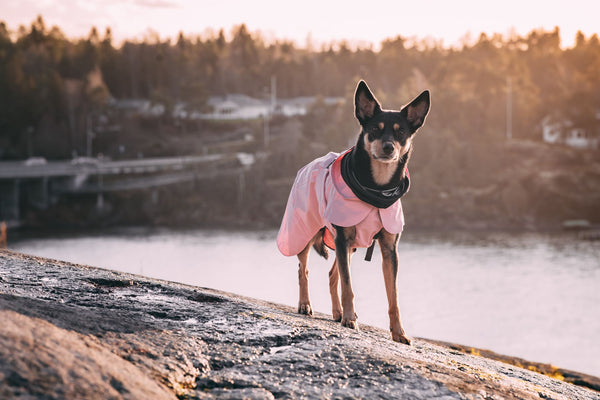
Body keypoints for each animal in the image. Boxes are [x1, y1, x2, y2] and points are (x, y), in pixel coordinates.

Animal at [278, 80, 432, 344]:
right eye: (375, 130)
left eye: (401, 132)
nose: (388, 147)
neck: (376, 189)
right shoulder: (342, 238)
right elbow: (348, 286)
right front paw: (351, 319)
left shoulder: (389, 248)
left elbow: (393, 297)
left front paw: (398, 332)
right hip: (307, 231)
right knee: (303, 269)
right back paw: (305, 304)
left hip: (348, 246)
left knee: (332, 275)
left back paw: (337, 312)